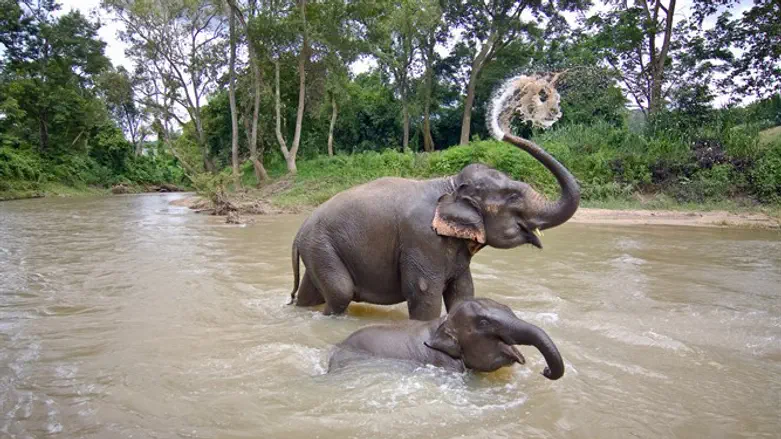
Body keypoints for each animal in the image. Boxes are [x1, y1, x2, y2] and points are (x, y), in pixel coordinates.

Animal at [287, 133, 580, 320]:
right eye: (513, 196)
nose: (505, 133)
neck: (449, 184)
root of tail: (299, 232)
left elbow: (463, 292)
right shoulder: (422, 239)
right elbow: (424, 295)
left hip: (319, 250)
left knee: (311, 293)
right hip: (322, 246)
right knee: (340, 293)